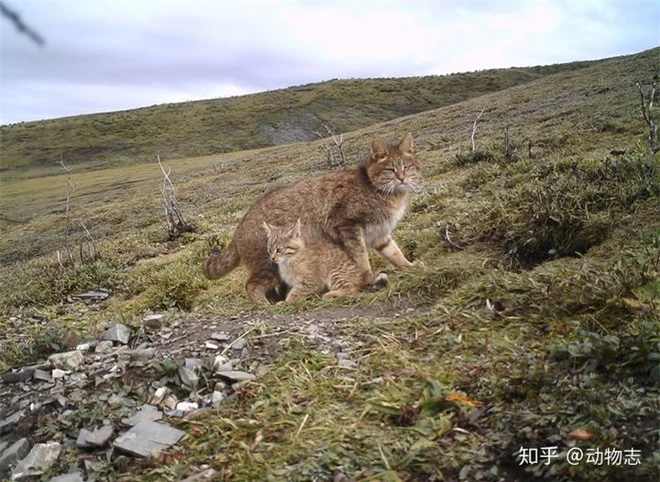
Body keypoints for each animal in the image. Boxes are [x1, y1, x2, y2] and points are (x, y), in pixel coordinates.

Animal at [205, 134, 422, 304]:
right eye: (390, 170)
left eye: (407, 167)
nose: (402, 178)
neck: (379, 191)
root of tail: (238, 229)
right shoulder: (348, 226)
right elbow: (360, 258)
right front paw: (366, 278)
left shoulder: (380, 234)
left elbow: (395, 253)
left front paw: (408, 266)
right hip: (270, 264)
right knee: (251, 285)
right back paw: (265, 304)